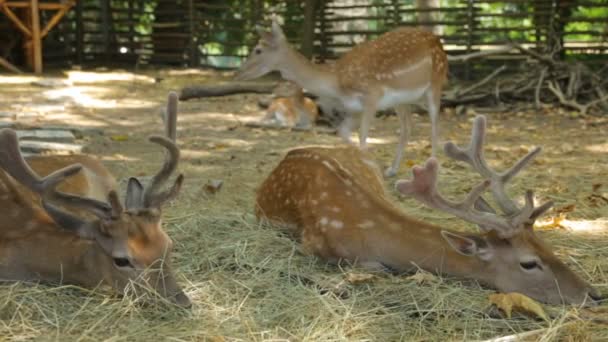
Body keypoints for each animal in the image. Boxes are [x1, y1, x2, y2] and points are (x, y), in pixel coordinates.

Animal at [235, 16, 448, 176]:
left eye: (258, 50)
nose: (238, 72)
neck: (336, 83)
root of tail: (438, 41)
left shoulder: (372, 96)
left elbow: (362, 137)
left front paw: (371, 168)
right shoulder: (354, 108)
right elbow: (343, 132)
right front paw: (372, 164)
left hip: (436, 83)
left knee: (435, 124)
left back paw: (432, 167)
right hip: (402, 100)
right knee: (407, 128)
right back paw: (392, 170)